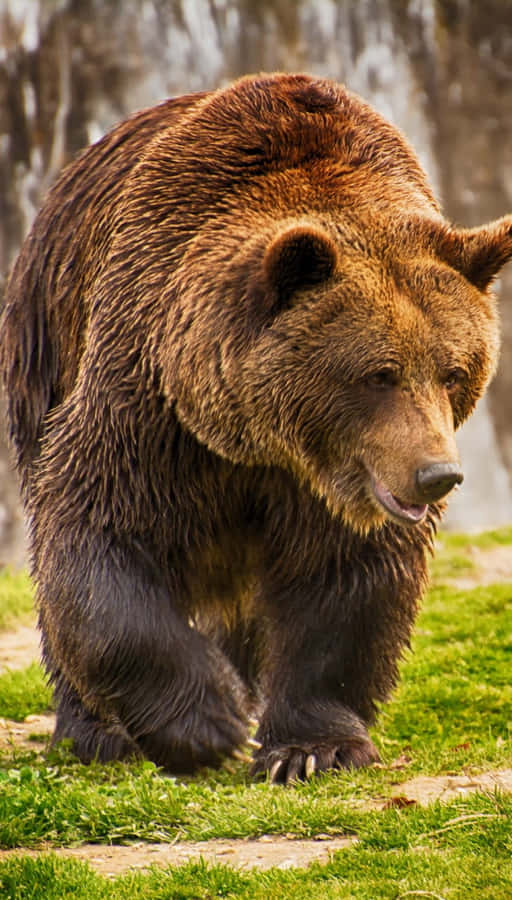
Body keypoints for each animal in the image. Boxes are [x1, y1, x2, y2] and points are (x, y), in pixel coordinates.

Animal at [1, 72, 512, 783]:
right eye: (380, 373)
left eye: (454, 371)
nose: (438, 474)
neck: (259, 441)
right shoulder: (148, 403)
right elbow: (97, 534)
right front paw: (206, 723)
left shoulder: (335, 486)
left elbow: (345, 580)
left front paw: (311, 749)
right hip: (45, 343)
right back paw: (95, 731)